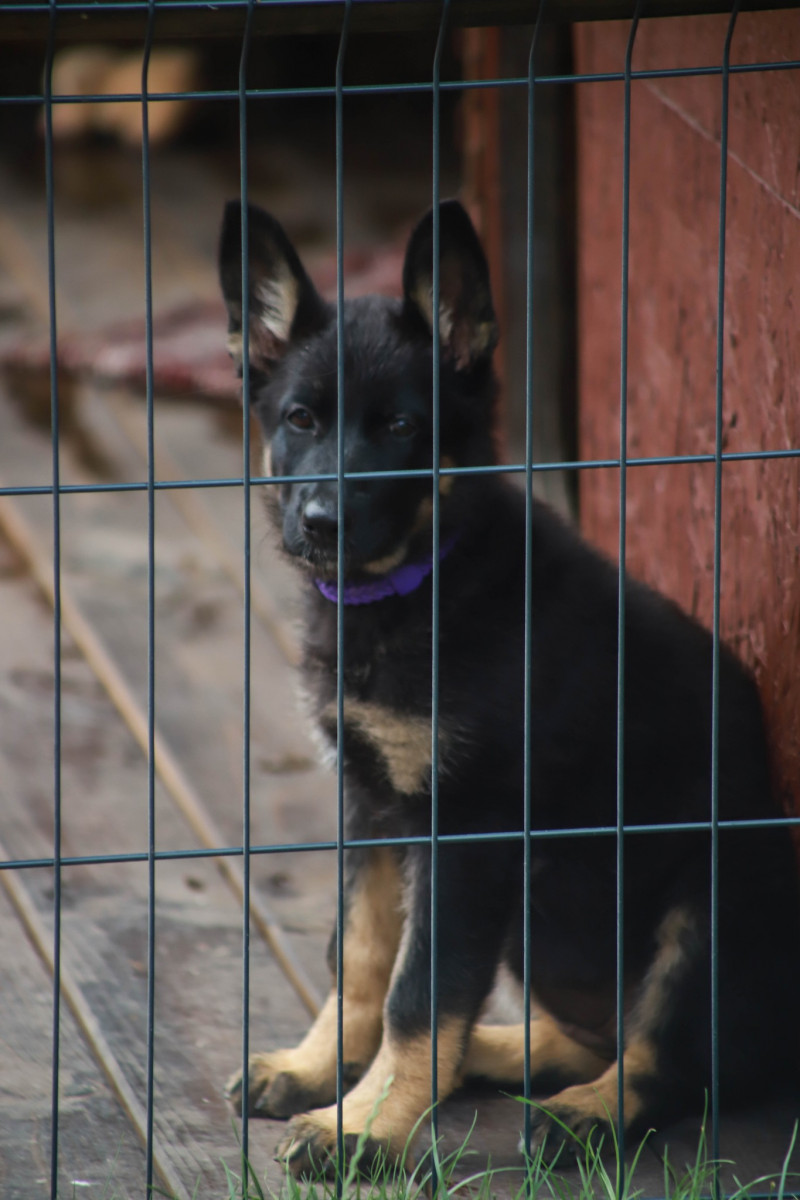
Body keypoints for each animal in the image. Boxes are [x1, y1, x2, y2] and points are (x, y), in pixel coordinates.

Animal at [217, 199, 800, 1171]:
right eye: (300, 418)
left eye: (402, 428)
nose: (320, 523)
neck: (419, 583)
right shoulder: (372, 807)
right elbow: (362, 957)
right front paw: (322, 1070)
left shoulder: (469, 831)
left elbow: (421, 992)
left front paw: (365, 1129)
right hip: (539, 918)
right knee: (593, 1033)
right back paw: (489, 1061)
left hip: (708, 901)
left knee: (669, 1062)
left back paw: (582, 1115)